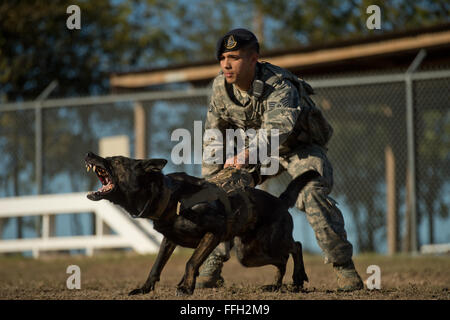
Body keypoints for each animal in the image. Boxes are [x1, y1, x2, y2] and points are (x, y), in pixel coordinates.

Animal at [84, 151, 312, 296]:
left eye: (115, 161)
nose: (88, 153)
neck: (169, 196)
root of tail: (280, 201)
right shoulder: (169, 241)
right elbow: (156, 266)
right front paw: (144, 289)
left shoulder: (214, 233)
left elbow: (191, 262)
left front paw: (186, 288)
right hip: (250, 253)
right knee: (282, 260)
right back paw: (276, 286)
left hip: (266, 244)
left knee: (295, 246)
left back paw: (298, 278)